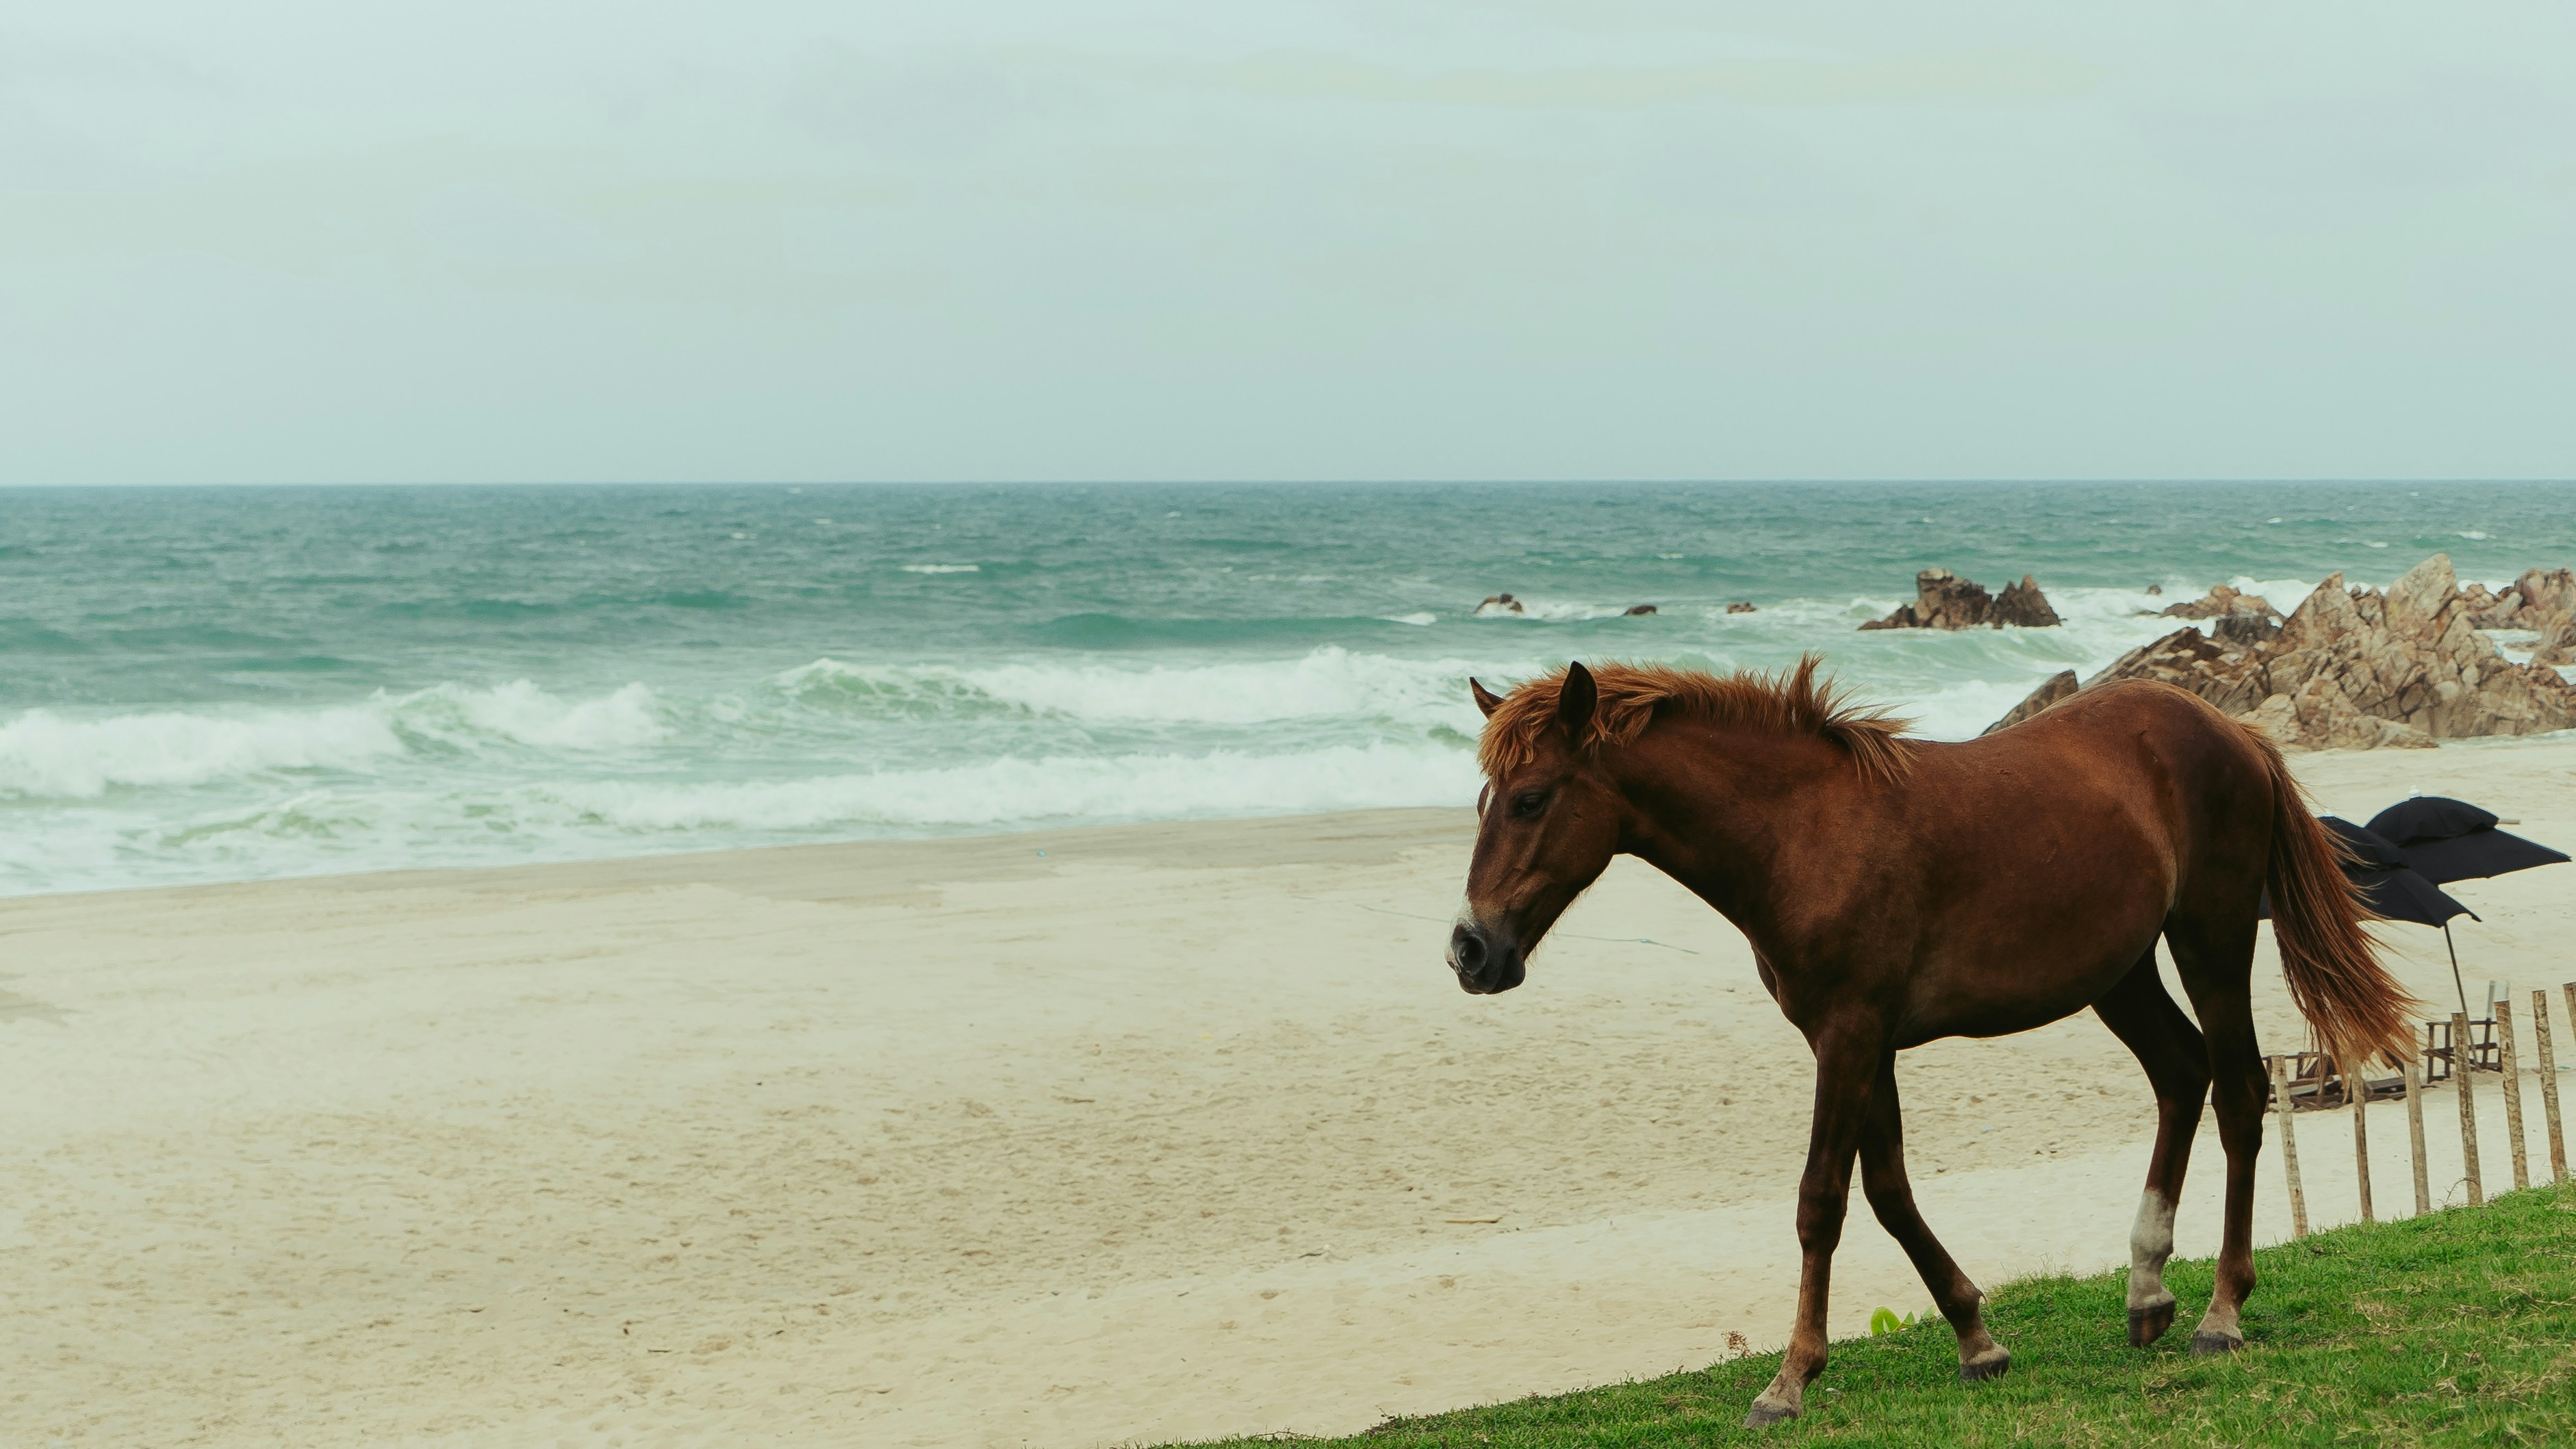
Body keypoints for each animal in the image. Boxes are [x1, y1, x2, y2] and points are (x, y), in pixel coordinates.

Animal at [1447, 656, 2413, 1428]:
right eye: (1486, 801)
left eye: (1530, 798)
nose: (1470, 949)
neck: (1802, 832)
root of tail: (2229, 729)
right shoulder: (1857, 1040)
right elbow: (1887, 1191)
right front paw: (1977, 1339)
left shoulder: (1849, 1033)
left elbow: (1821, 1201)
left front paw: (1787, 1381)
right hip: (2121, 971)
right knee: (2181, 1075)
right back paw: (2146, 1289)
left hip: (2210, 937)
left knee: (2239, 1091)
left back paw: (2221, 1312)